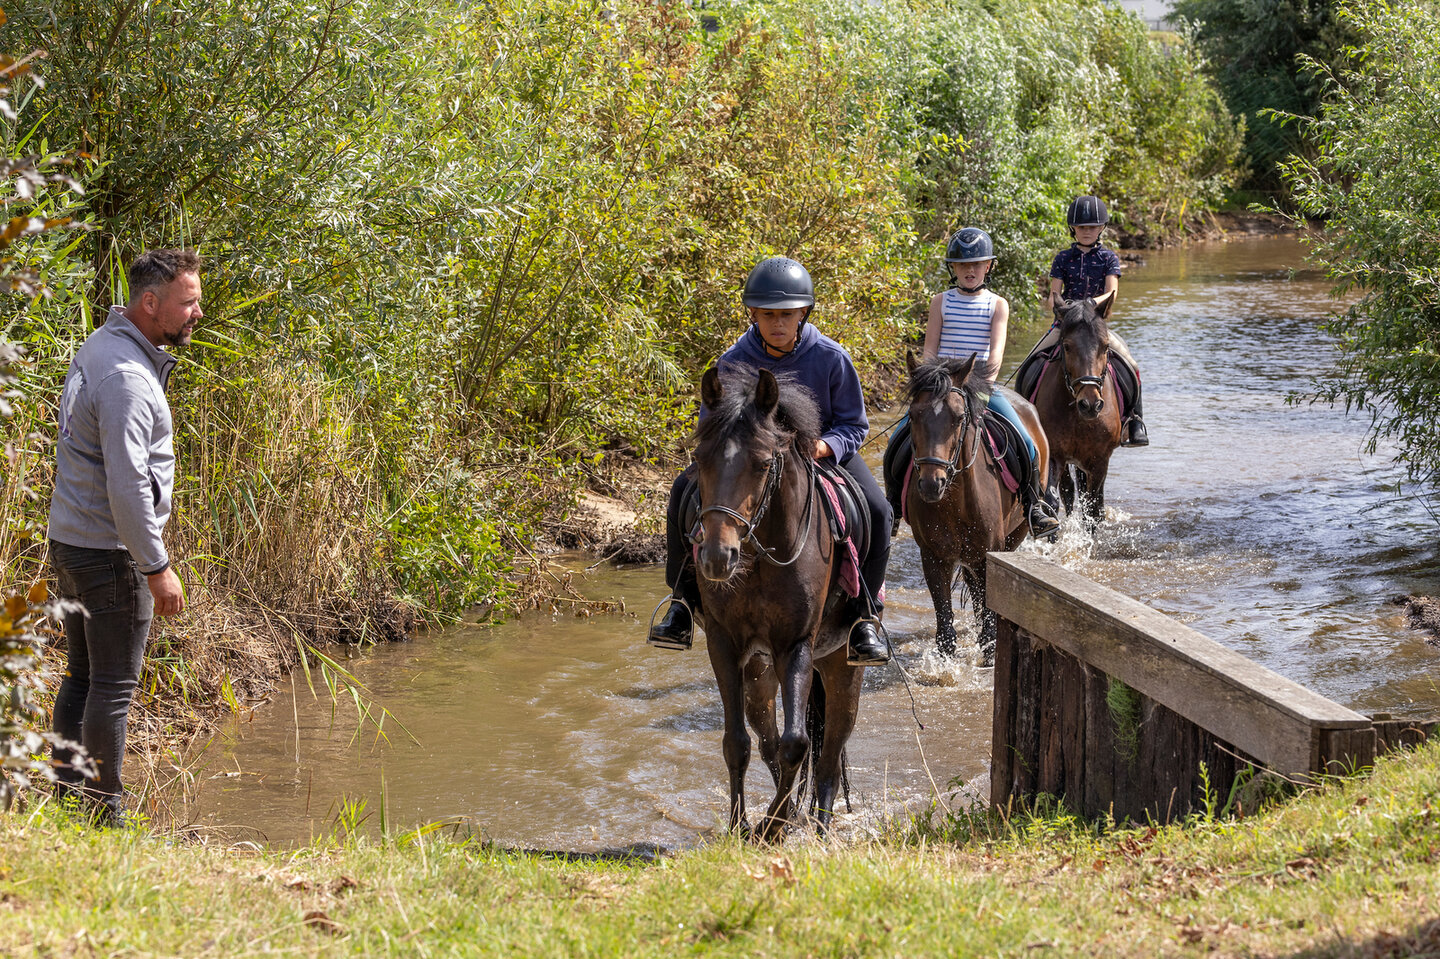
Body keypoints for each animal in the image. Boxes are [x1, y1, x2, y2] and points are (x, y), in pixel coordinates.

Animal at [688, 362, 858, 840]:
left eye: (764, 463)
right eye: (699, 459)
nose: (717, 556)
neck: (761, 558)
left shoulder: (796, 645)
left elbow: (797, 743)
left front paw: (772, 827)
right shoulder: (724, 643)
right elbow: (737, 743)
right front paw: (741, 826)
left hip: (840, 663)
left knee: (830, 749)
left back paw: (819, 823)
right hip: (760, 672)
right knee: (766, 738)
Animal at [898, 352, 1048, 665]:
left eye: (958, 418)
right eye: (914, 415)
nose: (931, 484)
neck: (954, 502)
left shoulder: (990, 555)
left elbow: (990, 628)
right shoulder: (933, 558)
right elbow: (945, 628)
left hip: (1014, 536)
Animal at [1036, 293, 1123, 527]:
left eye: (1105, 346)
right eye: (1066, 346)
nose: (1090, 404)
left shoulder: (1100, 460)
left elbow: (1093, 509)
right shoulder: (1055, 455)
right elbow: (1053, 500)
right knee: (1069, 493)